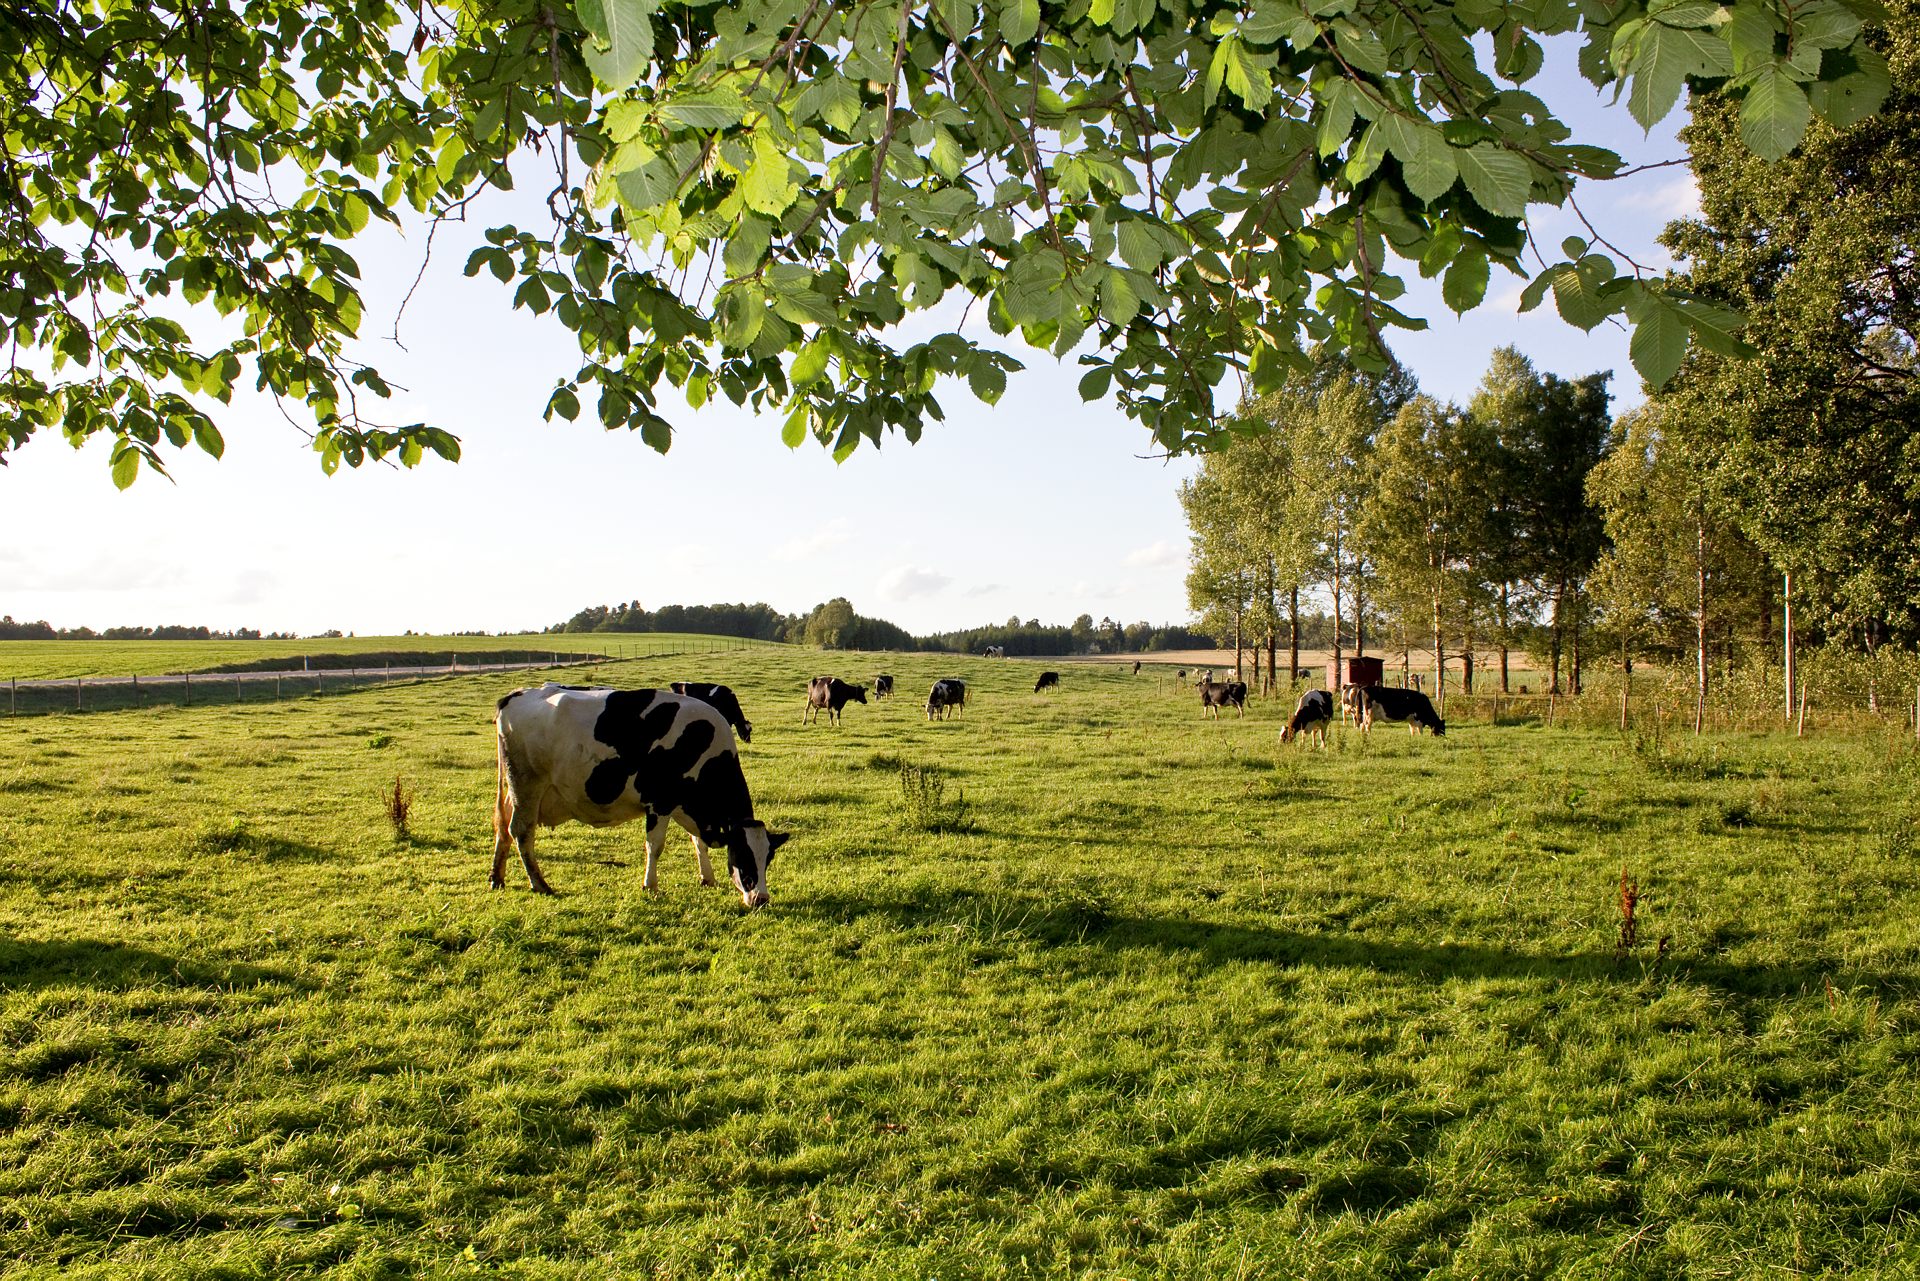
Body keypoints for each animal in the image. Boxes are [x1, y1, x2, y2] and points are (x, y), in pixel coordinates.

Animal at [503, 687, 794, 906]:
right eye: (743, 855)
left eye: (768, 858)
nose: (761, 899)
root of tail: (517, 695)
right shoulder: (660, 803)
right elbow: (655, 846)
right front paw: (650, 885)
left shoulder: (685, 806)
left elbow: (697, 842)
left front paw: (707, 878)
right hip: (527, 787)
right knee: (521, 832)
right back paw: (539, 884)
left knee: (503, 827)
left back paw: (498, 877)